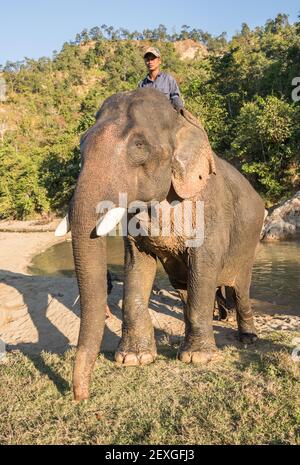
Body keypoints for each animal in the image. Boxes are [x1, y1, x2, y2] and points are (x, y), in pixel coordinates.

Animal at [56, 88, 264, 398]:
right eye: (82, 144)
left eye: (139, 145)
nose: (81, 396)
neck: (180, 123)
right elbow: (136, 266)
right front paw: (133, 359)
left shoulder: (210, 206)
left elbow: (204, 265)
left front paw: (197, 358)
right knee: (184, 288)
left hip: (249, 240)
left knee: (241, 288)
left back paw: (248, 339)